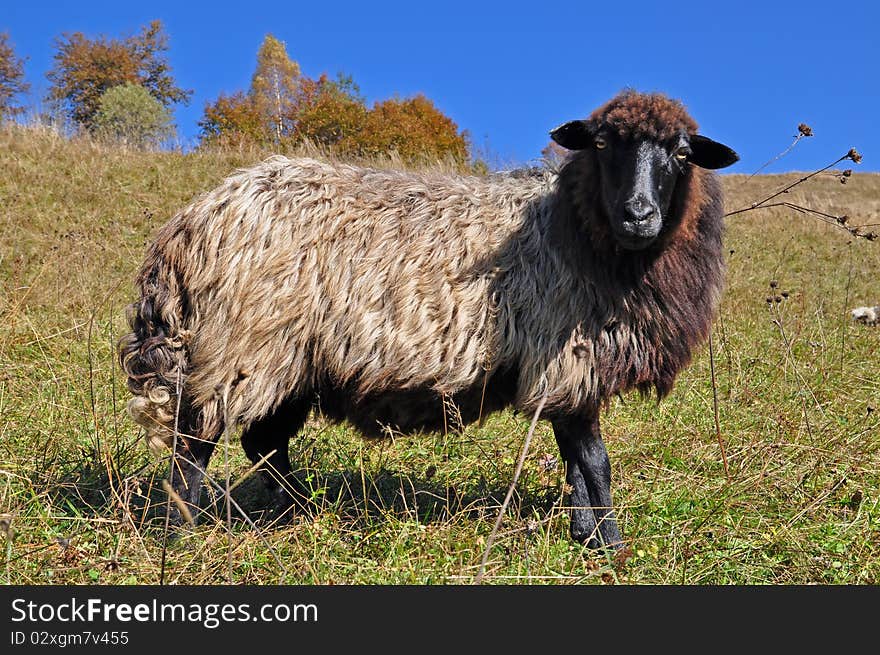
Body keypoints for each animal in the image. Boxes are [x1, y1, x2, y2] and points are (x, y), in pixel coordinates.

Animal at [122, 87, 744, 548]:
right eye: (601, 143)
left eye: (681, 153)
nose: (639, 215)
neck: (579, 225)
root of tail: (190, 226)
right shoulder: (568, 362)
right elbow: (595, 463)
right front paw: (611, 545)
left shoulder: (567, 375)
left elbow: (575, 464)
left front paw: (585, 535)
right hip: (236, 348)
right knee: (193, 447)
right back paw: (181, 536)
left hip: (288, 362)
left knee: (264, 443)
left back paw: (301, 510)